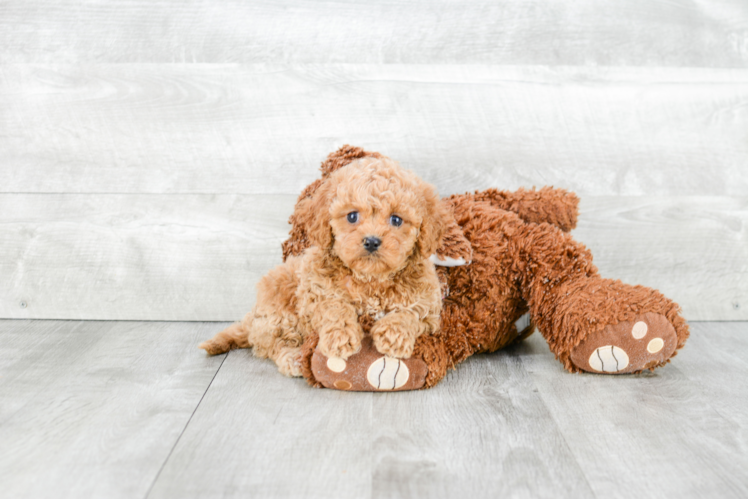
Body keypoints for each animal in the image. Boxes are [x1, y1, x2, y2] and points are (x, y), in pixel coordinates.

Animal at [199, 156, 450, 376]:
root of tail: (253, 315)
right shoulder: (314, 292)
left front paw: (393, 335)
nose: (371, 241)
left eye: (396, 219)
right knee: (274, 343)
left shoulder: (429, 304)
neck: (369, 279)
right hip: (279, 314)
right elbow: (334, 306)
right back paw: (294, 359)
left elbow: (411, 312)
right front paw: (341, 337)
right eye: (352, 216)